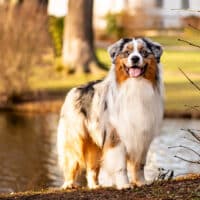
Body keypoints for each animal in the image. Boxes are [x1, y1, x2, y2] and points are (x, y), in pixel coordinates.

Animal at [56, 37, 164, 189]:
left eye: (143, 52)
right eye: (127, 53)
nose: (135, 58)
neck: (135, 86)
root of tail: (75, 89)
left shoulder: (142, 136)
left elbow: (139, 164)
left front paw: (141, 182)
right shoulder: (116, 136)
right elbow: (120, 166)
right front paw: (124, 184)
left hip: (94, 144)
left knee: (92, 167)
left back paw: (94, 186)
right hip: (74, 139)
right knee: (71, 160)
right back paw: (69, 184)